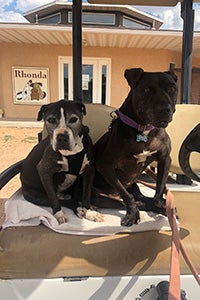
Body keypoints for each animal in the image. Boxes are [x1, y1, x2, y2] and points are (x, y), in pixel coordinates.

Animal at [94, 68, 178, 226]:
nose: (165, 109)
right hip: (104, 198)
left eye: (171, 89)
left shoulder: (165, 159)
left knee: (143, 199)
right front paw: (132, 214)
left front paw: (160, 201)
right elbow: (127, 195)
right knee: (133, 201)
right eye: (147, 89)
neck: (143, 130)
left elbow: (160, 185)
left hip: (134, 185)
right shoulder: (105, 165)